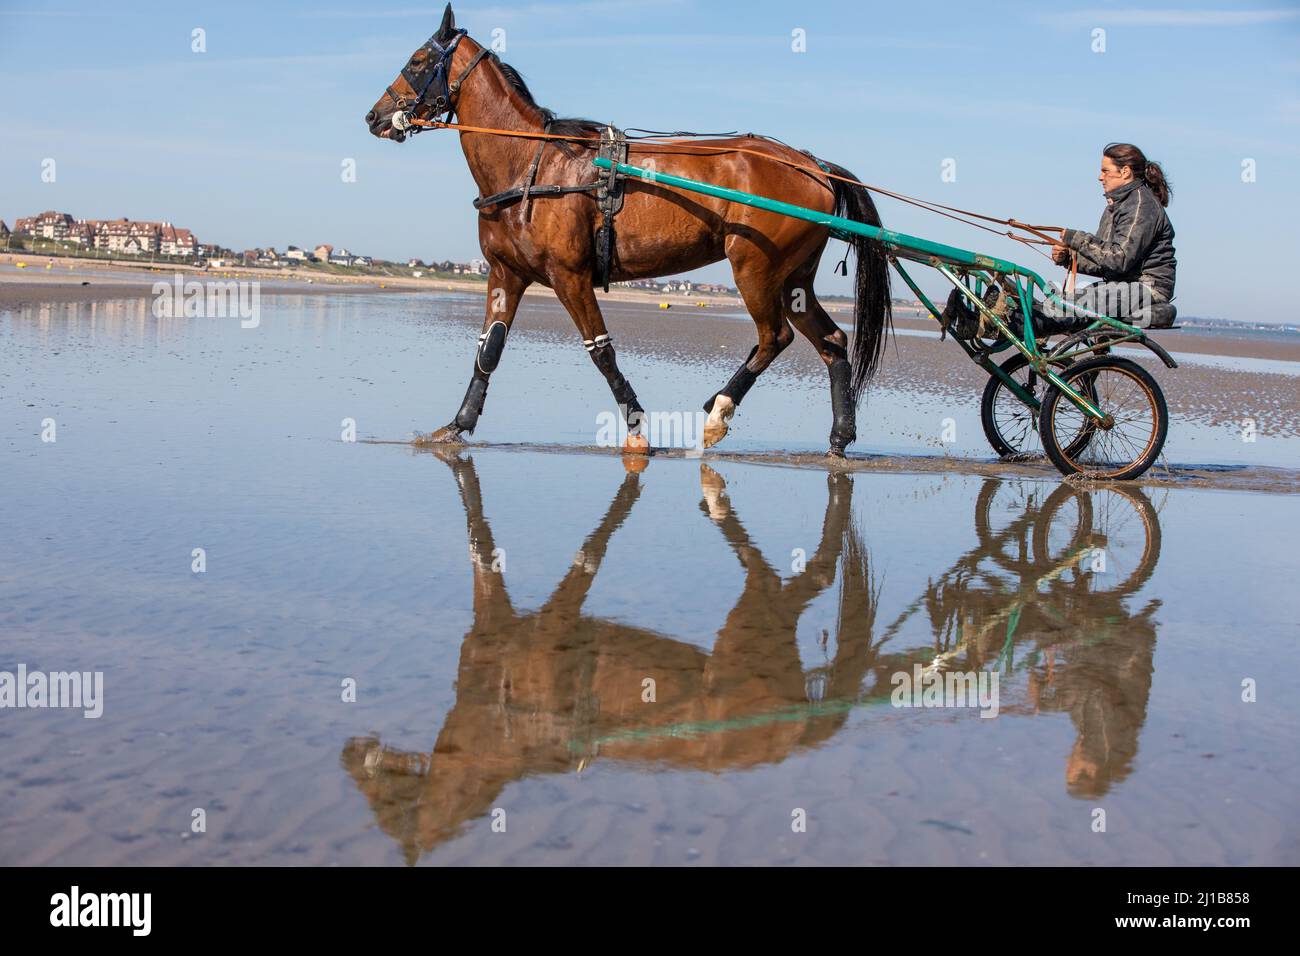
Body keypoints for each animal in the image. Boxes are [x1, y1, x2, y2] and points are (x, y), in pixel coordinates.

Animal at [371, 4, 889, 455]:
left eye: (418, 60)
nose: (374, 116)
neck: (532, 165)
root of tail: (813, 165)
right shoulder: (505, 274)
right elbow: (489, 351)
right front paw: (457, 425)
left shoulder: (570, 277)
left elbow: (600, 351)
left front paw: (637, 428)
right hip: (792, 280)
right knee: (831, 342)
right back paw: (839, 438)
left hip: (755, 269)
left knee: (775, 337)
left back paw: (718, 413)